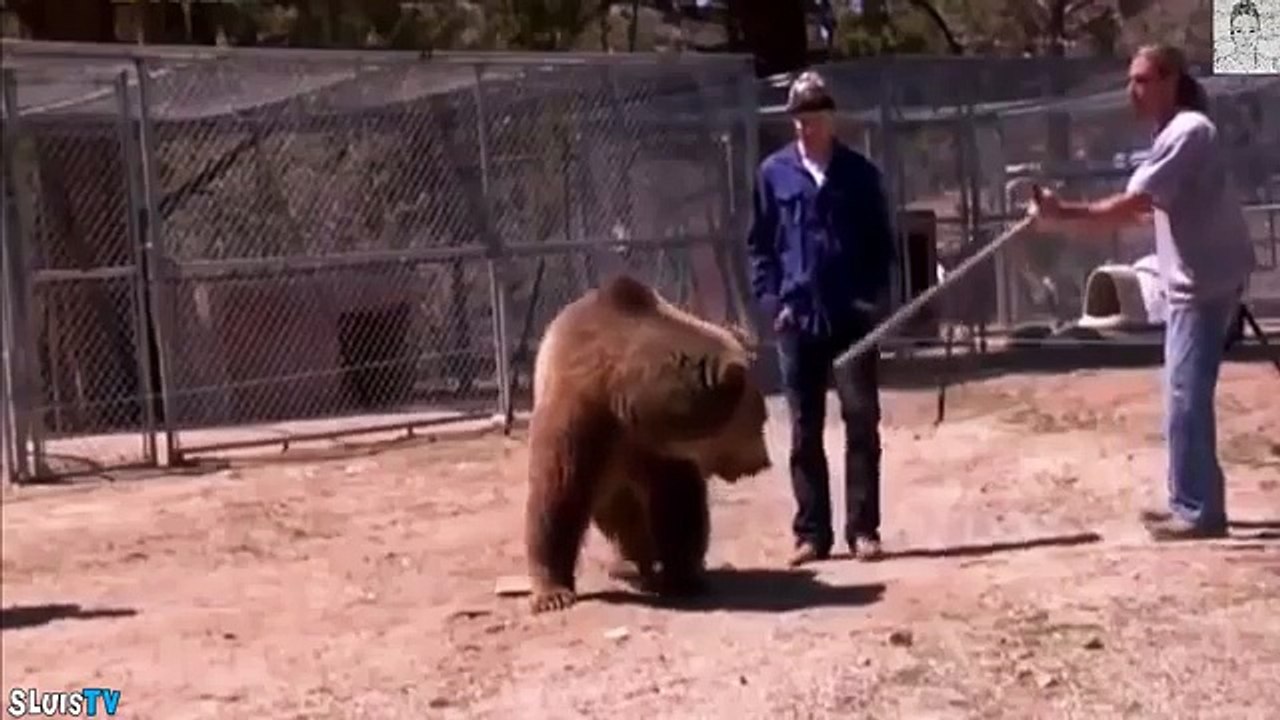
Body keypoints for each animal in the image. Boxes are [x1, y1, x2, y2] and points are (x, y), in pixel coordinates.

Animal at [524, 274, 771, 613]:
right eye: (761, 420)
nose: (763, 461)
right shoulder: (580, 417)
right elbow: (557, 498)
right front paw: (553, 594)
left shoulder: (660, 451)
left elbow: (678, 506)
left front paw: (685, 577)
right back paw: (630, 564)